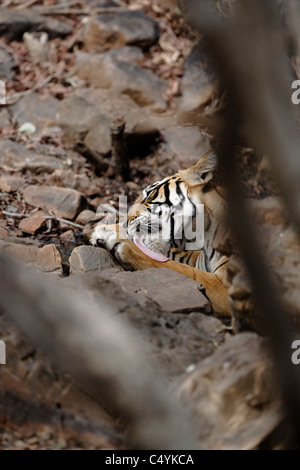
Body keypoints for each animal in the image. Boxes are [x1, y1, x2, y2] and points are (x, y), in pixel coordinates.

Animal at [90, 151, 231, 316]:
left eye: (149, 196)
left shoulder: (225, 287)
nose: (126, 220)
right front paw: (108, 230)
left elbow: (175, 267)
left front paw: (126, 246)